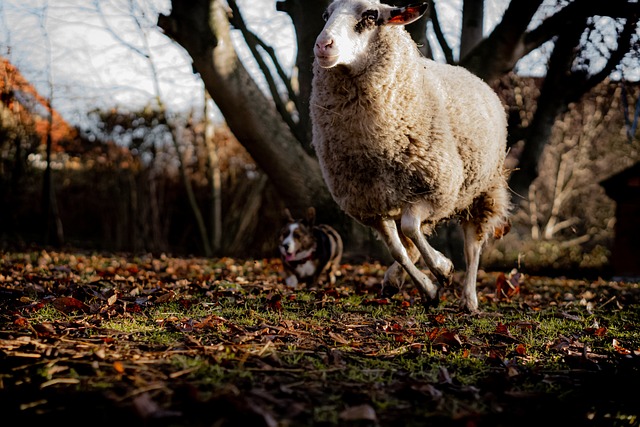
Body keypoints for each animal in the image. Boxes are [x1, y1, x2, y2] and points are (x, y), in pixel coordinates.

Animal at [308, 0, 510, 314]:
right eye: (325, 15)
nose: (322, 45)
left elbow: (411, 229)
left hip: (484, 190)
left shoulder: (435, 189)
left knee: (472, 246)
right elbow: (398, 250)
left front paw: (442, 269)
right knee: (411, 246)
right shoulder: (370, 206)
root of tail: (473, 75)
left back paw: (469, 299)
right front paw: (428, 289)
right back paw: (394, 281)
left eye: (370, 16)